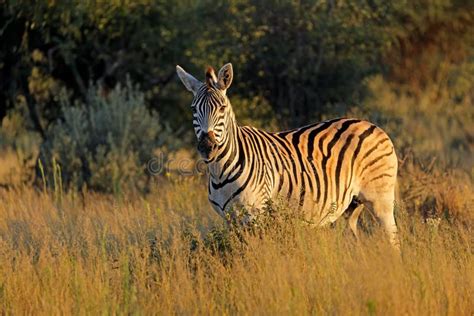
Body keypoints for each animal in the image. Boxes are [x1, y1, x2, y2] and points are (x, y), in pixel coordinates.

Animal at [176, 63, 398, 248]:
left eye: (222, 108)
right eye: (194, 109)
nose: (207, 147)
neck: (220, 171)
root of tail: (373, 125)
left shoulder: (255, 213)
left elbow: (256, 255)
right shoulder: (230, 218)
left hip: (381, 200)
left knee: (393, 239)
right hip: (350, 207)